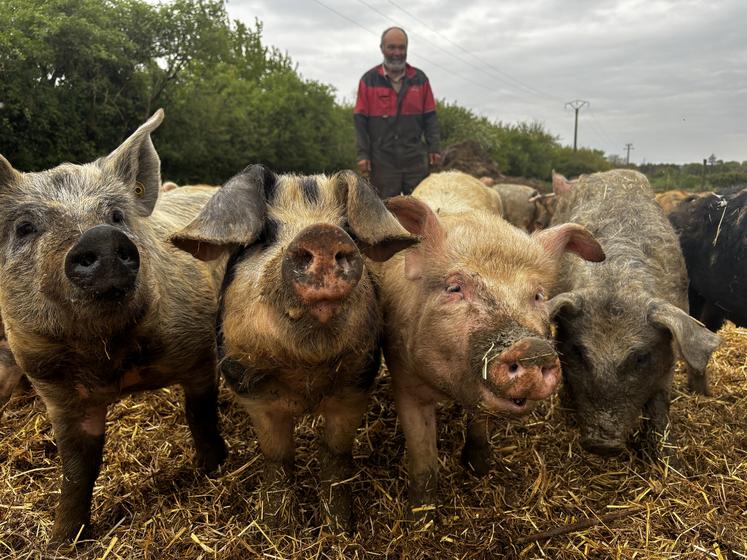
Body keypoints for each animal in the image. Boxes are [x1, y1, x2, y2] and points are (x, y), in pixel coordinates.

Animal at [0, 109, 226, 544]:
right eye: (24, 227)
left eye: (116, 216)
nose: (101, 238)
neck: (112, 360)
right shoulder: (54, 388)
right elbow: (76, 467)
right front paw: (63, 540)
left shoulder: (197, 345)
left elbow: (201, 414)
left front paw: (215, 468)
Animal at [171, 164, 420, 532]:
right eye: (264, 235)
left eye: (347, 229)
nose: (322, 234)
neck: (305, 375)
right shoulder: (254, 393)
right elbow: (278, 457)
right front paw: (274, 526)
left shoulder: (356, 386)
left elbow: (335, 455)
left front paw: (340, 528)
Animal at [374, 171, 608, 520]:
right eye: (454, 288)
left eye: (538, 295)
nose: (532, 348)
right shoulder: (403, 375)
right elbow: (421, 450)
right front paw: (421, 513)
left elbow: (480, 420)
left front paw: (479, 467)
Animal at [548, 171, 720, 460]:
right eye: (579, 352)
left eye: (640, 357)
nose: (602, 444)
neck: (618, 282)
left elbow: (660, 406)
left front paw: (669, 460)